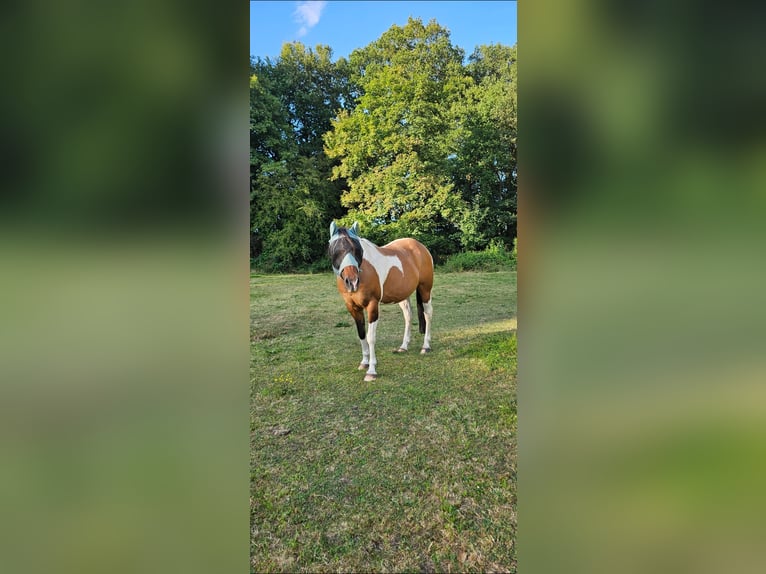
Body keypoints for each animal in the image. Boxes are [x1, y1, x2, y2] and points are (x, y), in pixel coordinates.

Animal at [328, 221, 434, 382]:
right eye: (335, 249)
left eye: (357, 249)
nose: (352, 282)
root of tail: (420, 247)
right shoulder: (353, 307)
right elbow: (361, 334)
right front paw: (364, 362)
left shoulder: (372, 305)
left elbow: (371, 337)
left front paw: (371, 370)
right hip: (403, 295)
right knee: (408, 316)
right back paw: (403, 346)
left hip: (425, 289)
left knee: (428, 314)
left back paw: (426, 346)